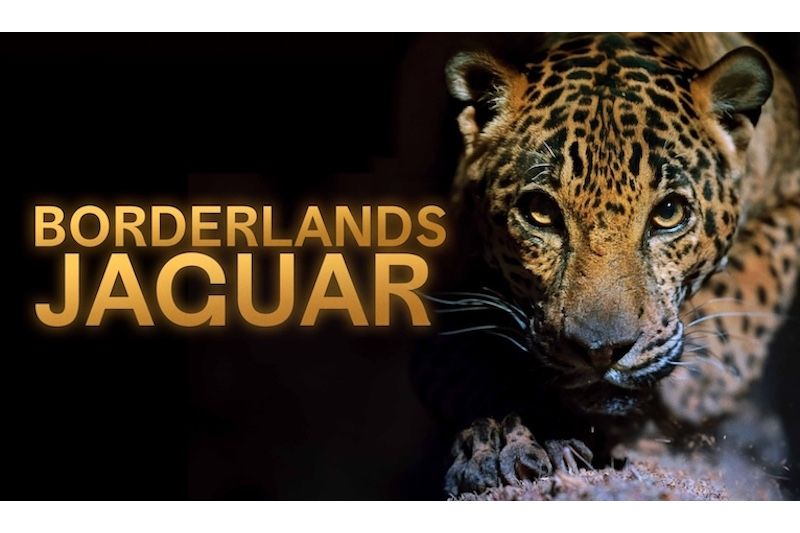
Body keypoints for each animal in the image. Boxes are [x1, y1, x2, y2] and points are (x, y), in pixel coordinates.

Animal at [435, 33, 800, 496]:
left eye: (668, 213)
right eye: (540, 212)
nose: (601, 351)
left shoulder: (791, 194)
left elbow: (754, 276)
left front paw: (703, 380)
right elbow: (470, 364)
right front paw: (500, 440)